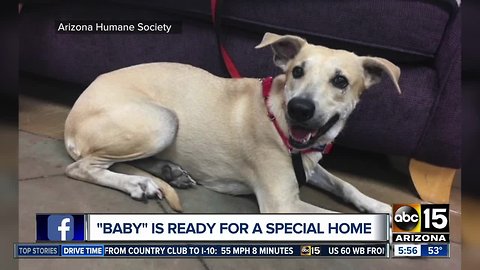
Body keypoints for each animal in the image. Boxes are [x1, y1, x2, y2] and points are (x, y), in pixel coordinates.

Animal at [64, 32, 402, 213]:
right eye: (297, 71)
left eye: (340, 81)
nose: (300, 109)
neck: (278, 118)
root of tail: (70, 120)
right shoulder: (283, 205)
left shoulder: (310, 165)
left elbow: (344, 184)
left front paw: (377, 205)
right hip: (164, 121)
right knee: (82, 167)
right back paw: (137, 183)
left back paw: (168, 172)